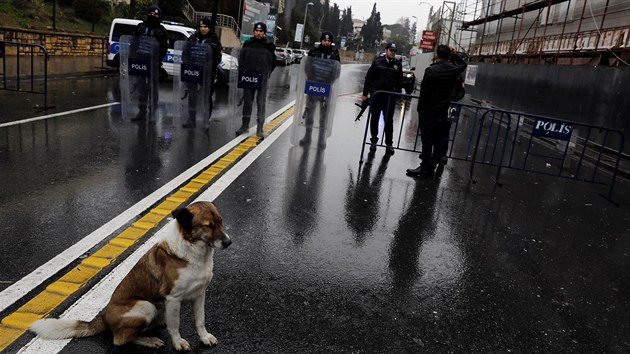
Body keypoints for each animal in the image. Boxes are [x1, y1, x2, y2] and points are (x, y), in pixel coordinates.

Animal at [29, 201, 232, 350]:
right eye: (208, 226)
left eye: (221, 221)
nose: (228, 243)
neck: (192, 252)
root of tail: (103, 316)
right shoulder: (173, 298)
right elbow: (175, 325)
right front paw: (178, 342)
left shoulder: (200, 294)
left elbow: (200, 320)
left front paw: (204, 337)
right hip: (145, 306)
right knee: (120, 339)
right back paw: (148, 340)